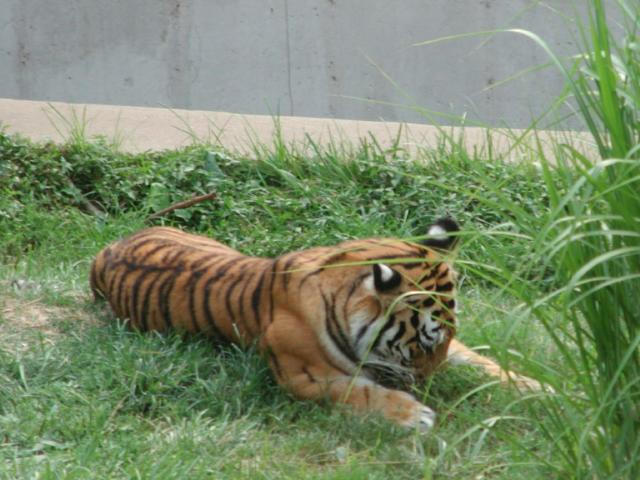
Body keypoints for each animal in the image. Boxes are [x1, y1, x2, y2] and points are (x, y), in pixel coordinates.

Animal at [90, 217, 542, 431]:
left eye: (446, 338)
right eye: (425, 343)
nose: (434, 383)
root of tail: (113, 246)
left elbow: (482, 361)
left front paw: (536, 387)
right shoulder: (303, 376)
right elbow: (357, 391)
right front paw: (413, 414)